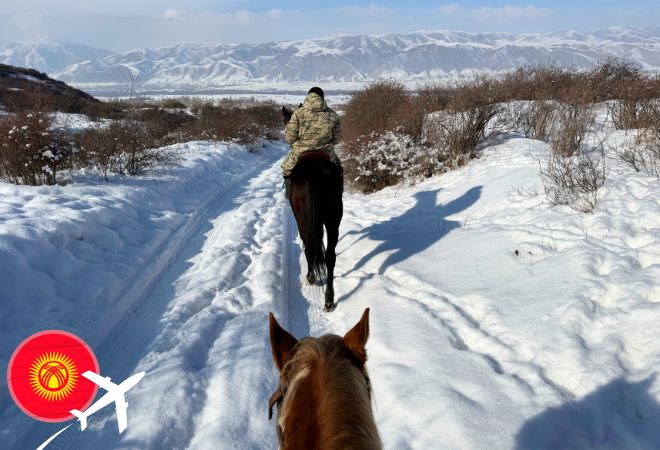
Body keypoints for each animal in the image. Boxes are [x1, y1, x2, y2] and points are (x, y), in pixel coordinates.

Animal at [282, 106, 343, 312]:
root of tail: (315, 174)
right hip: (333, 216)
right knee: (330, 256)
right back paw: (329, 300)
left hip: (302, 216)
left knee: (309, 244)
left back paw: (311, 277)